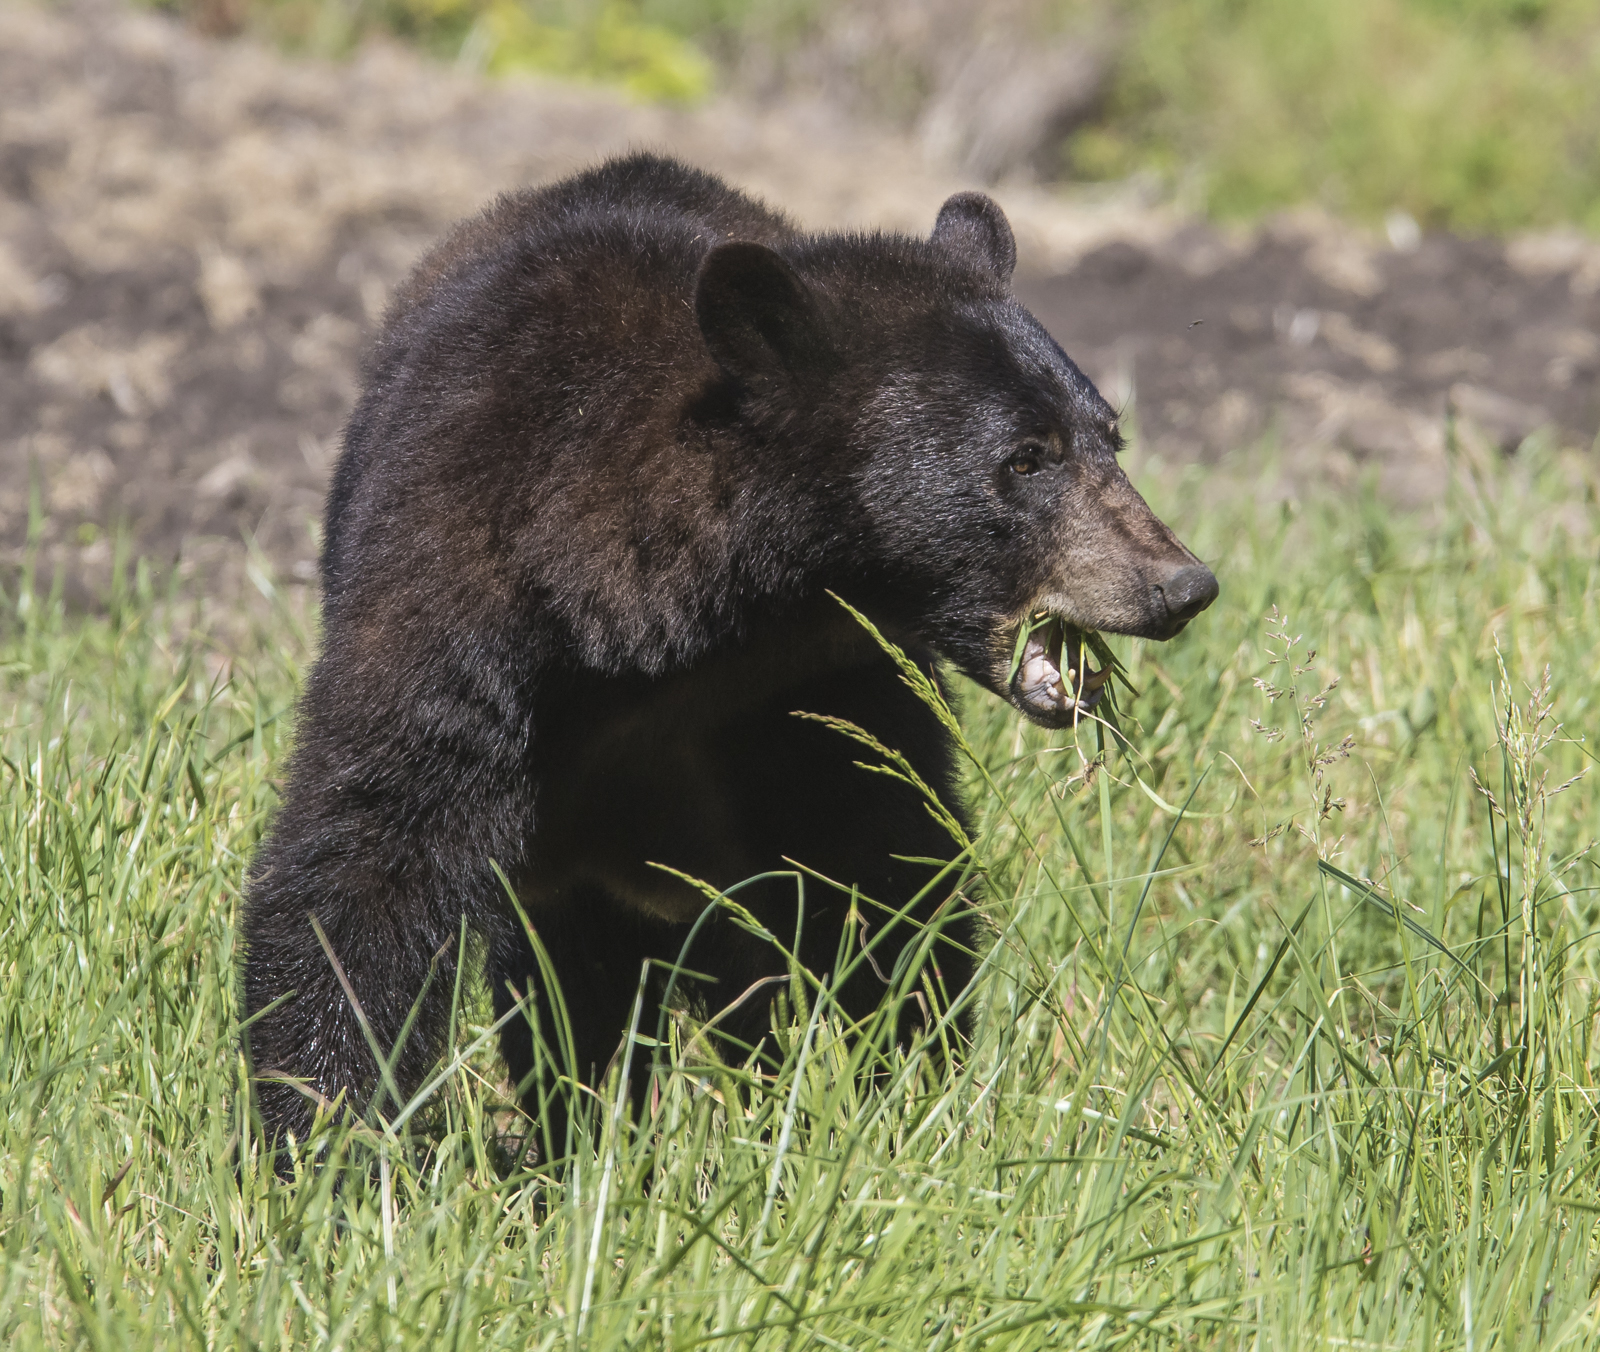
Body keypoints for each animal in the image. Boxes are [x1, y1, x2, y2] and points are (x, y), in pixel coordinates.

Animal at [242, 152, 1216, 1155]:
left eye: (1110, 436)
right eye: (1026, 457)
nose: (1180, 584)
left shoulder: (812, 693)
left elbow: (886, 869)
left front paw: (900, 1098)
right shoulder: (463, 614)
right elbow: (369, 858)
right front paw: (329, 1144)